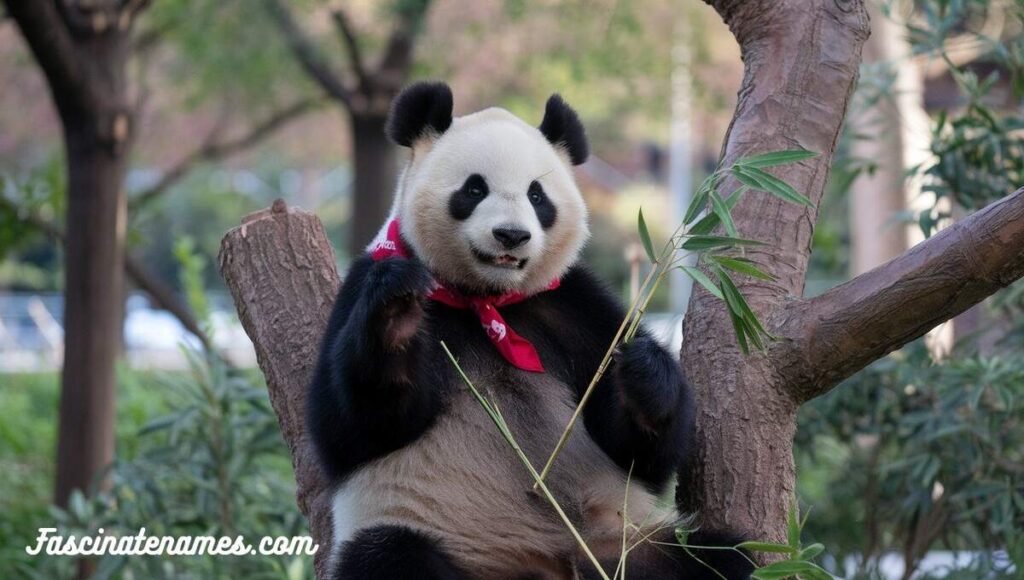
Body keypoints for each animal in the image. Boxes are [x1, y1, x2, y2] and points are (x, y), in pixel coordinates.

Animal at [307, 81, 749, 580]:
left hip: (622, 545)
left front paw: (644, 372)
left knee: (720, 559)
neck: (487, 299)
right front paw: (397, 313)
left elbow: (640, 456)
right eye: (474, 188)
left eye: (538, 197)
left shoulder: (572, 303)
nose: (512, 235)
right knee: (389, 556)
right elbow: (353, 428)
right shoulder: (362, 285)